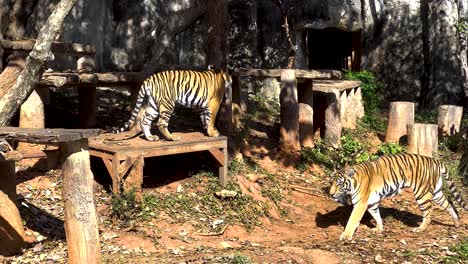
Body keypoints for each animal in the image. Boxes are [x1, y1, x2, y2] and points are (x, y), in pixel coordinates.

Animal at [328, 153, 466, 241]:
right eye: (331, 183)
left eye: (339, 184)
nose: (331, 194)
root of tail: (435, 160)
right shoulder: (372, 203)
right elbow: (377, 216)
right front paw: (379, 229)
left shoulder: (360, 204)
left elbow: (352, 219)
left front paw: (346, 236)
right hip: (436, 193)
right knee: (449, 204)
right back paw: (457, 222)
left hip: (422, 193)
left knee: (428, 213)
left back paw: (420, 229)